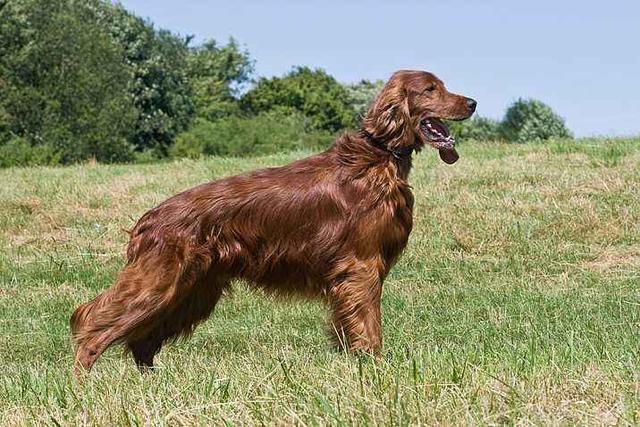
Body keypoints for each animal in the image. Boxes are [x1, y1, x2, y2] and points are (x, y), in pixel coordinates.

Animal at [71, 69, 476, 372]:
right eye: (430, 89)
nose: (472, 102)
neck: (379, 156)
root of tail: (148, 220)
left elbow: (349, 327)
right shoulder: (362, 267)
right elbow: (368, 326)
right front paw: (375, 368)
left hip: (191, 290)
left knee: (142, 339)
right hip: (158, 283)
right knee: (91, 323)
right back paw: (81, 385)